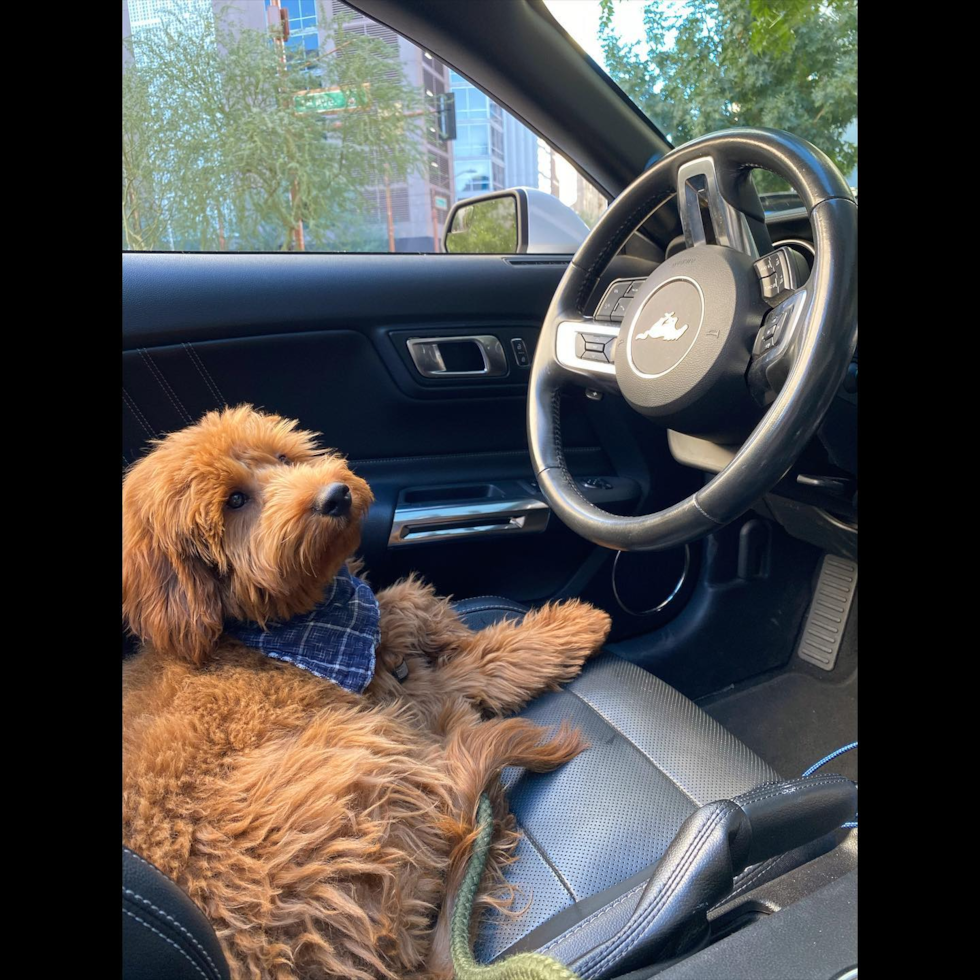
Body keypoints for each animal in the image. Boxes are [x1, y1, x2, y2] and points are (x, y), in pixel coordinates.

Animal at [120, 406, 612, 980]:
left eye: (284, 456)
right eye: (234, 501)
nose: (335, 495)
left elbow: (414, 606)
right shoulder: (405, 694)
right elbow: (482, 663)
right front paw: (573, 628)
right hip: (361, 757)